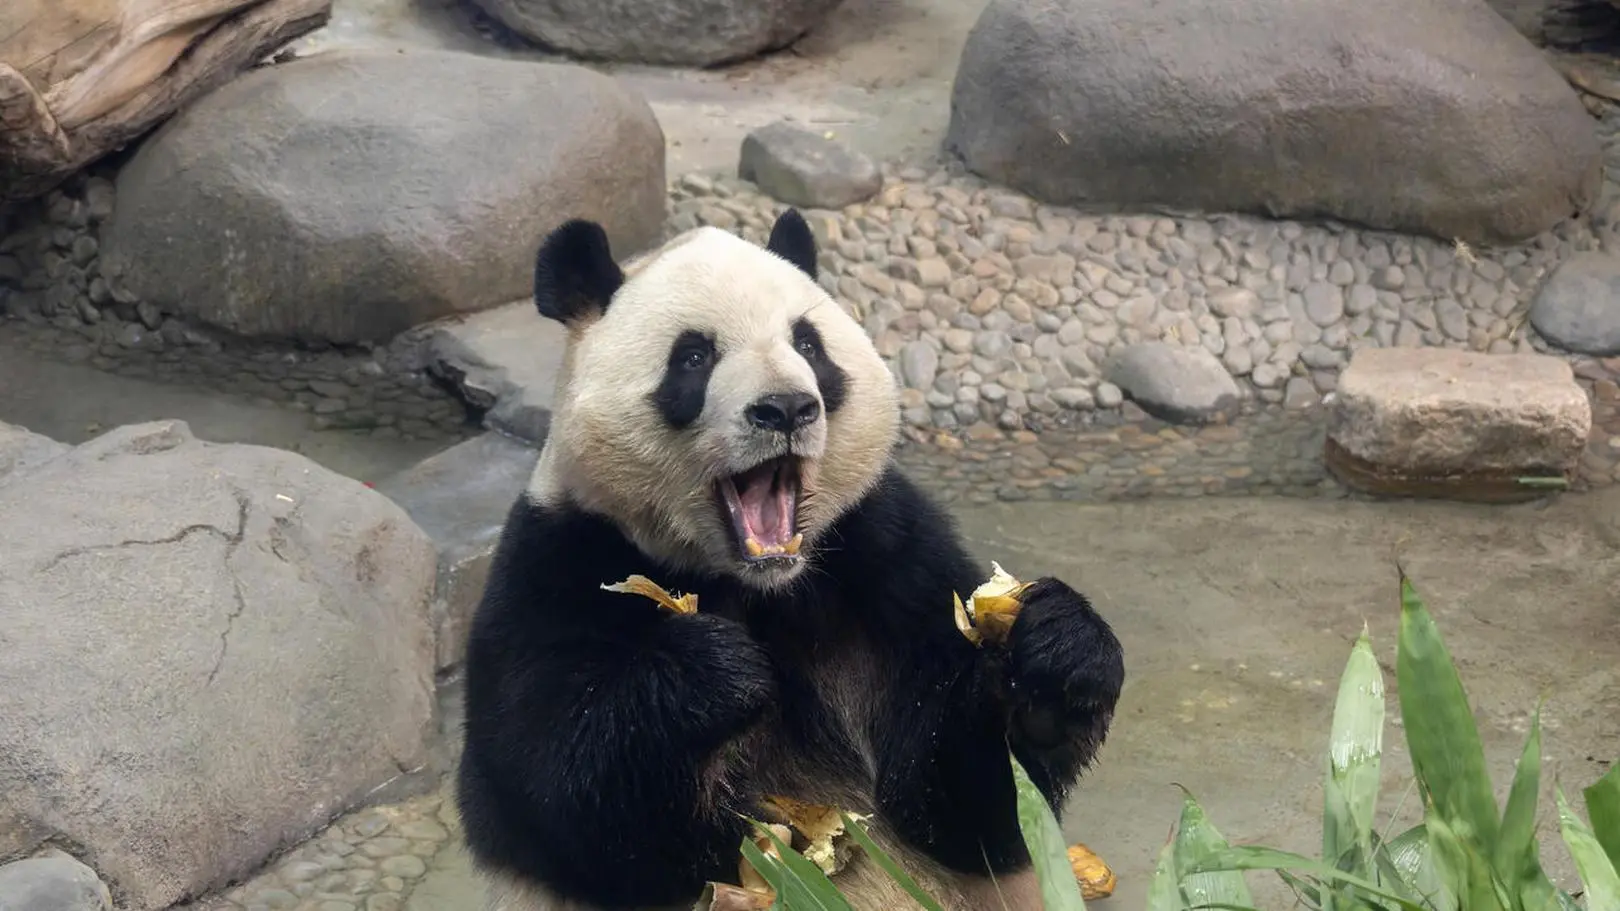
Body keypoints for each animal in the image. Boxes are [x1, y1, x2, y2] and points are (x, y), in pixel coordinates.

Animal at [456, 208, 1126, 911]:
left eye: (808, 346)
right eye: (693, 356)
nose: (785, 408)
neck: (760, 584)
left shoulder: (886, 555)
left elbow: (968, 809)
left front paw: (1056, 656)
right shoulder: (560, 565)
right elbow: (576, 813)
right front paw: (710, 674)